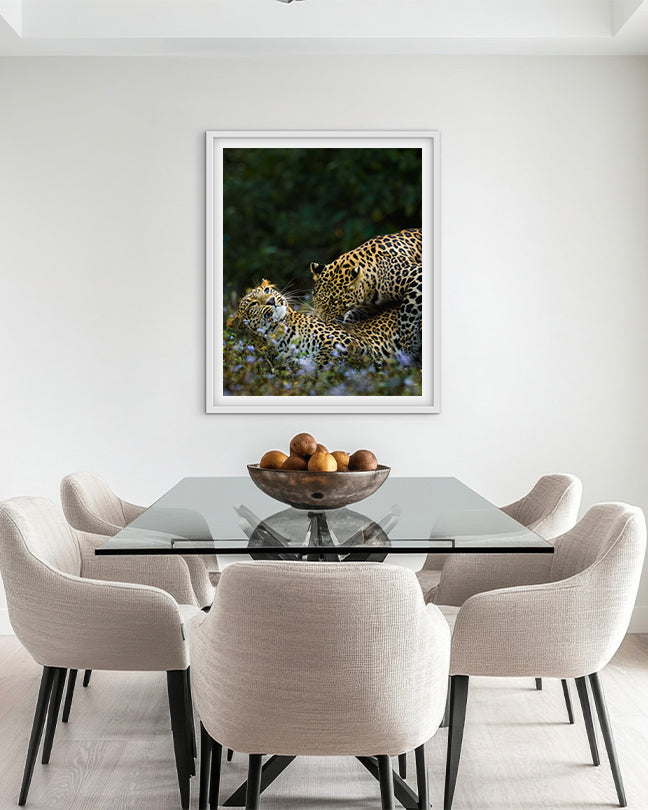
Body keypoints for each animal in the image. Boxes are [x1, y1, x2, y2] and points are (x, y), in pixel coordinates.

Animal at [228, 280, 408, 366]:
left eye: (266, 290)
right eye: (253, 304)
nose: (271, 300)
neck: (280, 334)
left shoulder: (346, 340)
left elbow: (322, 358)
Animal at [310, 228, 422, 357]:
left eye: (334, 303)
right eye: (314, 299)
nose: (320, 321)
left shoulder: (418, 275)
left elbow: (406, 311)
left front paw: (408, 344)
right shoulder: (366, 308)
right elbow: (351, 318)